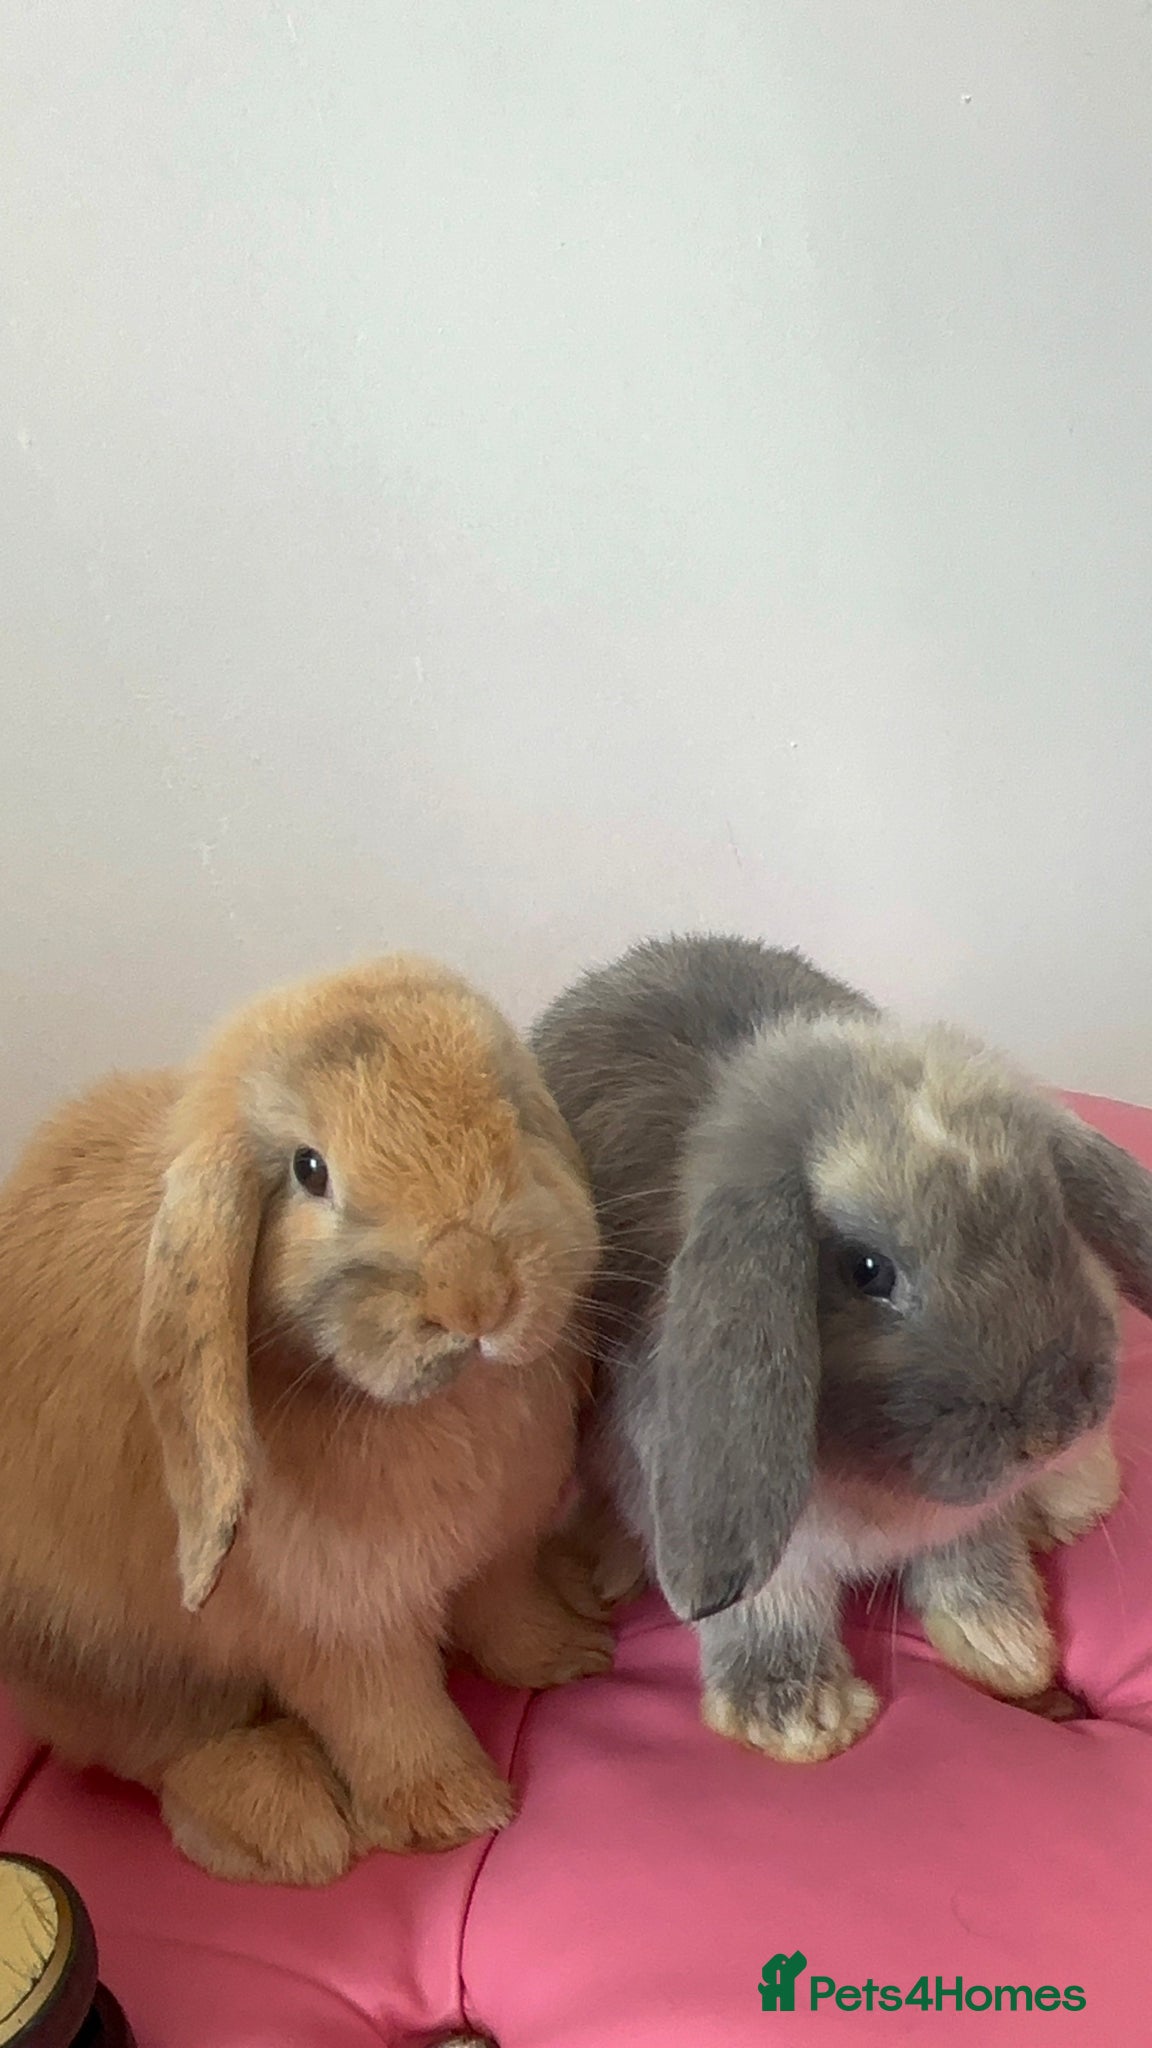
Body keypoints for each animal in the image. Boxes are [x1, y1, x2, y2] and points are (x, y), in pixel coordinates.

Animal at [0, 955, 612, 1883]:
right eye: (309, 1169)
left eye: (511, 1109)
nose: (477, 1297)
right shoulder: (340, 1625)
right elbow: (388, 1716)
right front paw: (456, 1812)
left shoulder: (496, 1553)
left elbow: (509, 1614)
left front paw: (571, 1655)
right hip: (107, 1666)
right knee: (167, 1750)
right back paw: (289, 1828)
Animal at [532, 934, 1148, 1764]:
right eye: (866, 1269)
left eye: (1051, 1219)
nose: (1053, 1431)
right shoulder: (762, 1551)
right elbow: (766, 1615)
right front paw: (801, 1719)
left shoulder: (964, 1520)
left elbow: (974, 1555)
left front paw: (1005, 1641)